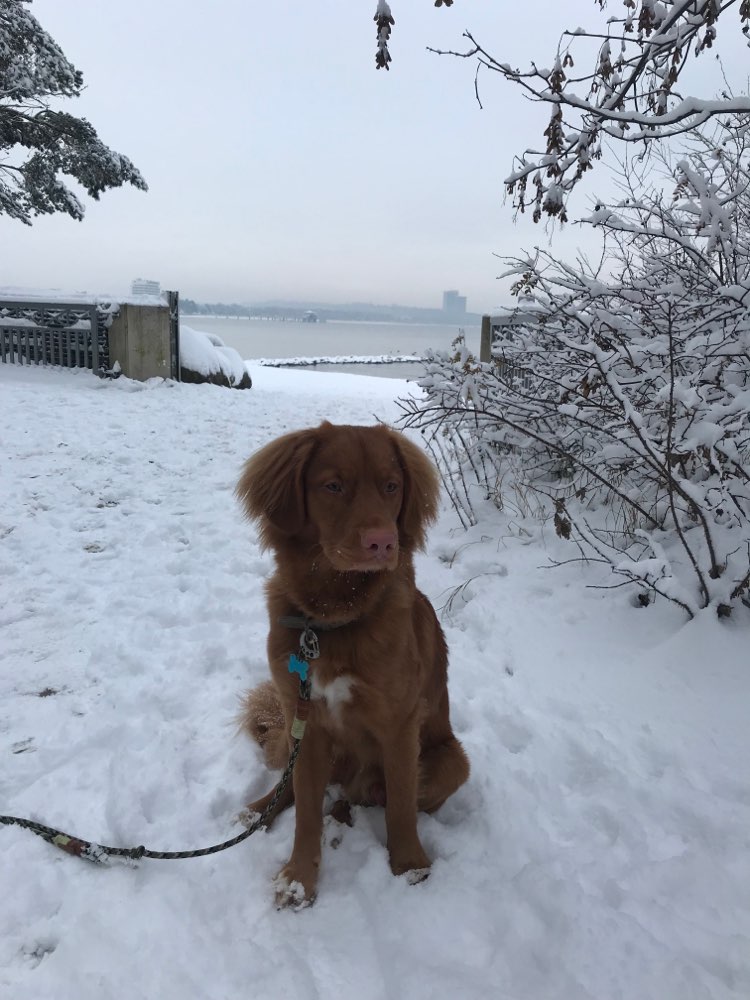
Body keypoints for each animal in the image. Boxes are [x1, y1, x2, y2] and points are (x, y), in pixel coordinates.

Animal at [236, 422, 470, 908]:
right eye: (333, 486)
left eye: (392, 486)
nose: (383, 542)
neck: (331, 619)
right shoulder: (305, 722)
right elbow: (305, 811)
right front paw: (298, 879)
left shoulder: (399, 725)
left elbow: (400, 805)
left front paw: (410, 866)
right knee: (289, 788)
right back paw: (258, 812)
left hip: (453, 760)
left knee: (371, 796)